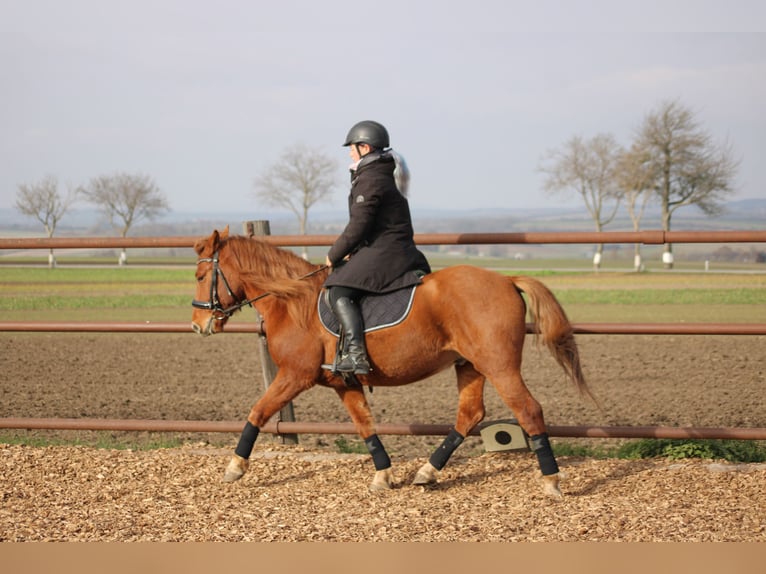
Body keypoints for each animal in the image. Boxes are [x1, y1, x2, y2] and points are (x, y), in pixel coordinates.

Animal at [190, 228, 592, 500]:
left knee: (528, 410)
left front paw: (235, 466)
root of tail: (506, 279)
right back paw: (428, 471)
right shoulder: (344, 383)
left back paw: (551, 481)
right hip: (470, 365)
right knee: (470, 414)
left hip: (499, 366)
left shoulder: (294, 375)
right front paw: (383, 475)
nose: (198, 325)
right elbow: (365, 426)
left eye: (199, 276)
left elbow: (258, 412)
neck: (293, 301)